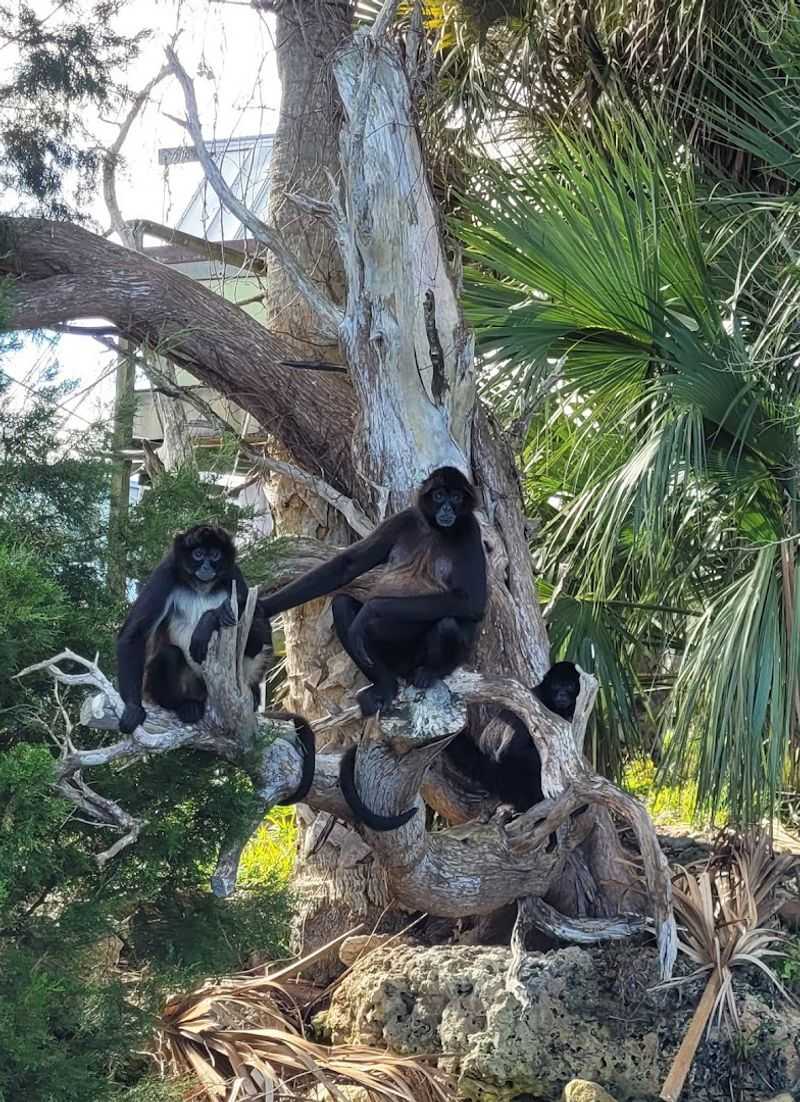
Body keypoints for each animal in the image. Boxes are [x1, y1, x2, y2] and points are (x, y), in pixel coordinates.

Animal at [116, 524, 315, 805]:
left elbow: (259, 622)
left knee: (256, 628)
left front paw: (211, 618)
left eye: (215, 555)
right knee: (169, 654)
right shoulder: (166, 573)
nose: (207, 566)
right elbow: (134, 634)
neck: (201, 586)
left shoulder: (233, 574)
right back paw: (184, 706)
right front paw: (133, 708)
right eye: (198, 554)